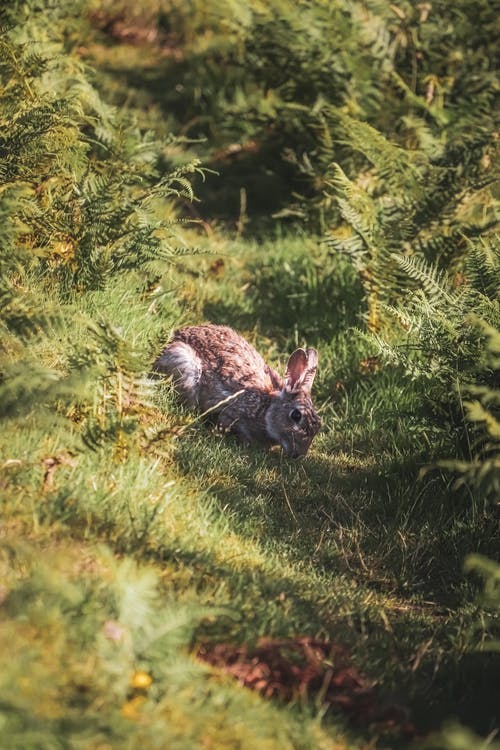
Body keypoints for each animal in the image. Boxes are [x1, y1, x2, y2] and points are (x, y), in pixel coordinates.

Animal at [154, 324, 322, 458]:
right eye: (296, 415)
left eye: (319, 424)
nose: (299, 455)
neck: (266, 408)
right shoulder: (232, 412)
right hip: (186, 367)